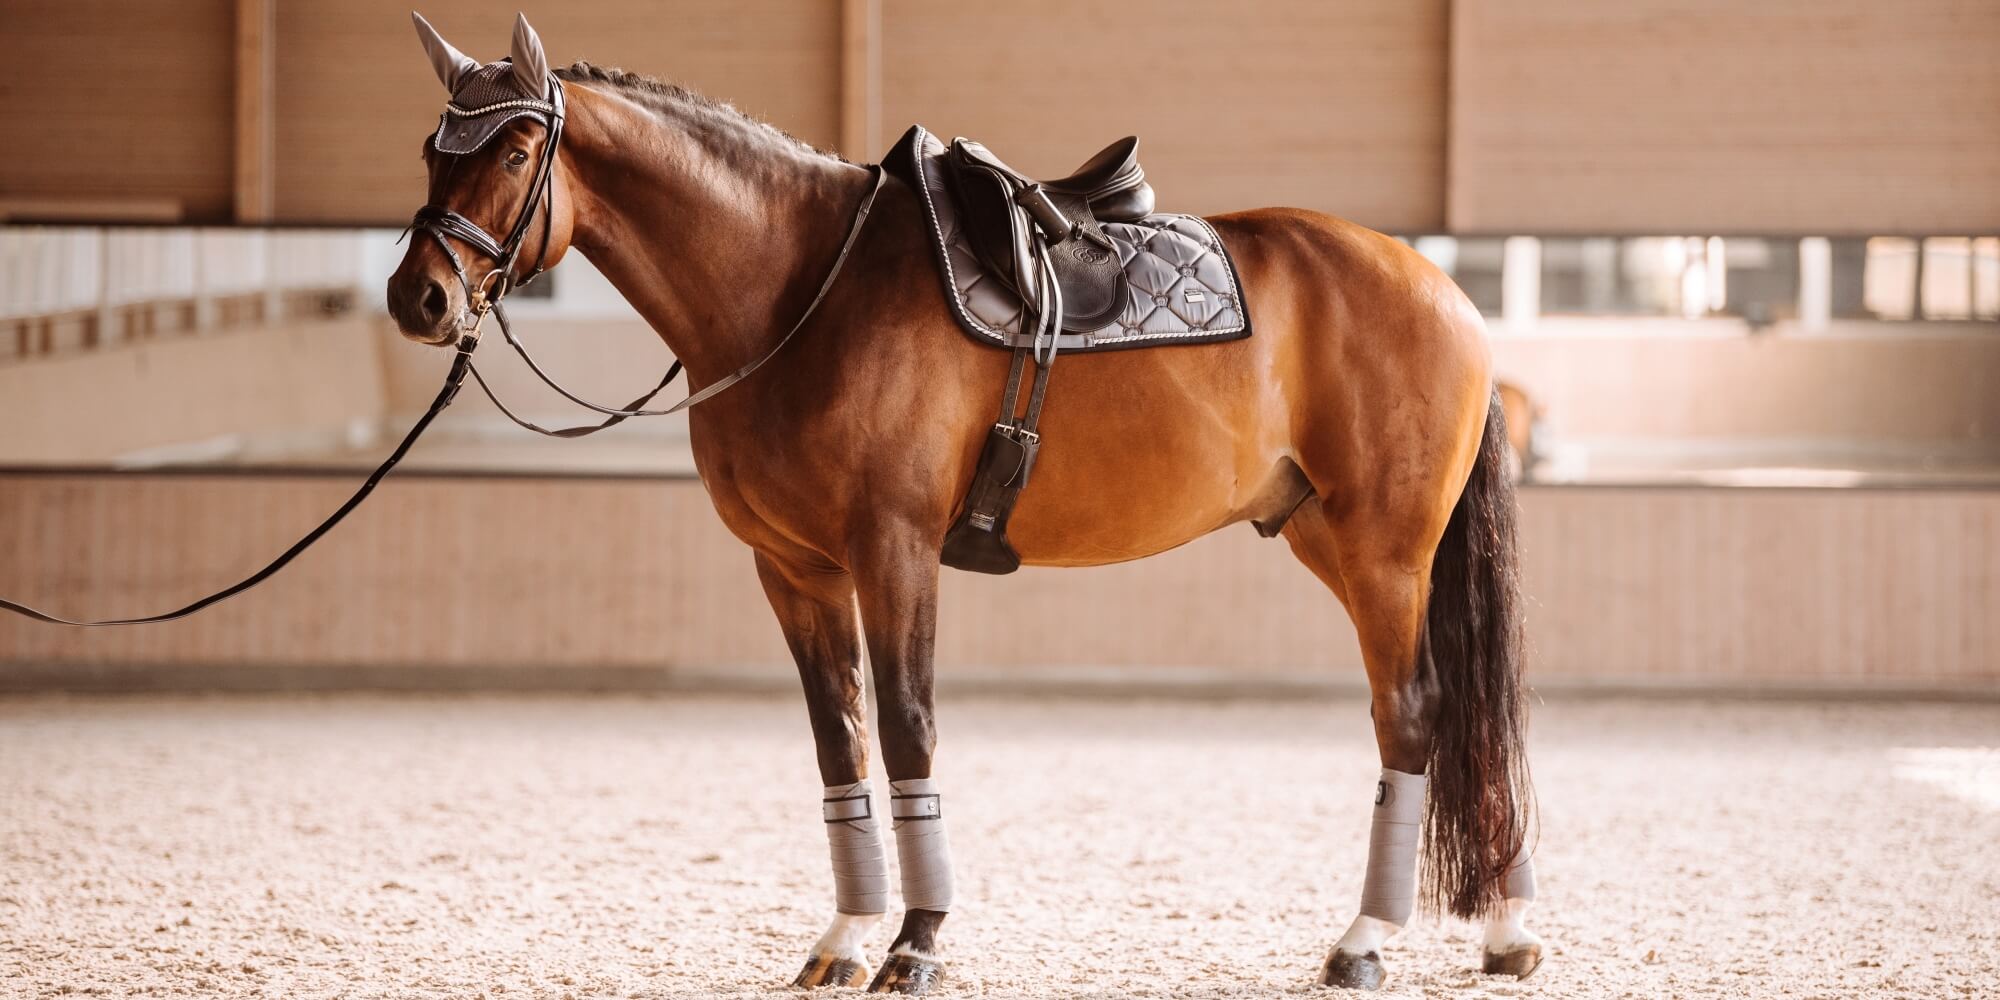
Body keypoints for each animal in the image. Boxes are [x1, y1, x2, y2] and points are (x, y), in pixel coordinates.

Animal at [394, 13, 1544, 992]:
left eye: (512, 153)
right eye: (430, 152)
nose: (421, 298)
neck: (797, 289)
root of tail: (1442, 290)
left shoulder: (891, 549)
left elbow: (908, 728)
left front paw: (916, 943)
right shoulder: (794, 568)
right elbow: (840, 738)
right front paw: (845, 939)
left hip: (1383, 549)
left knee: (1413, 712)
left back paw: (1364, 942)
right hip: (1330, 540)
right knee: (1462, 714)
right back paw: (1504, 930)